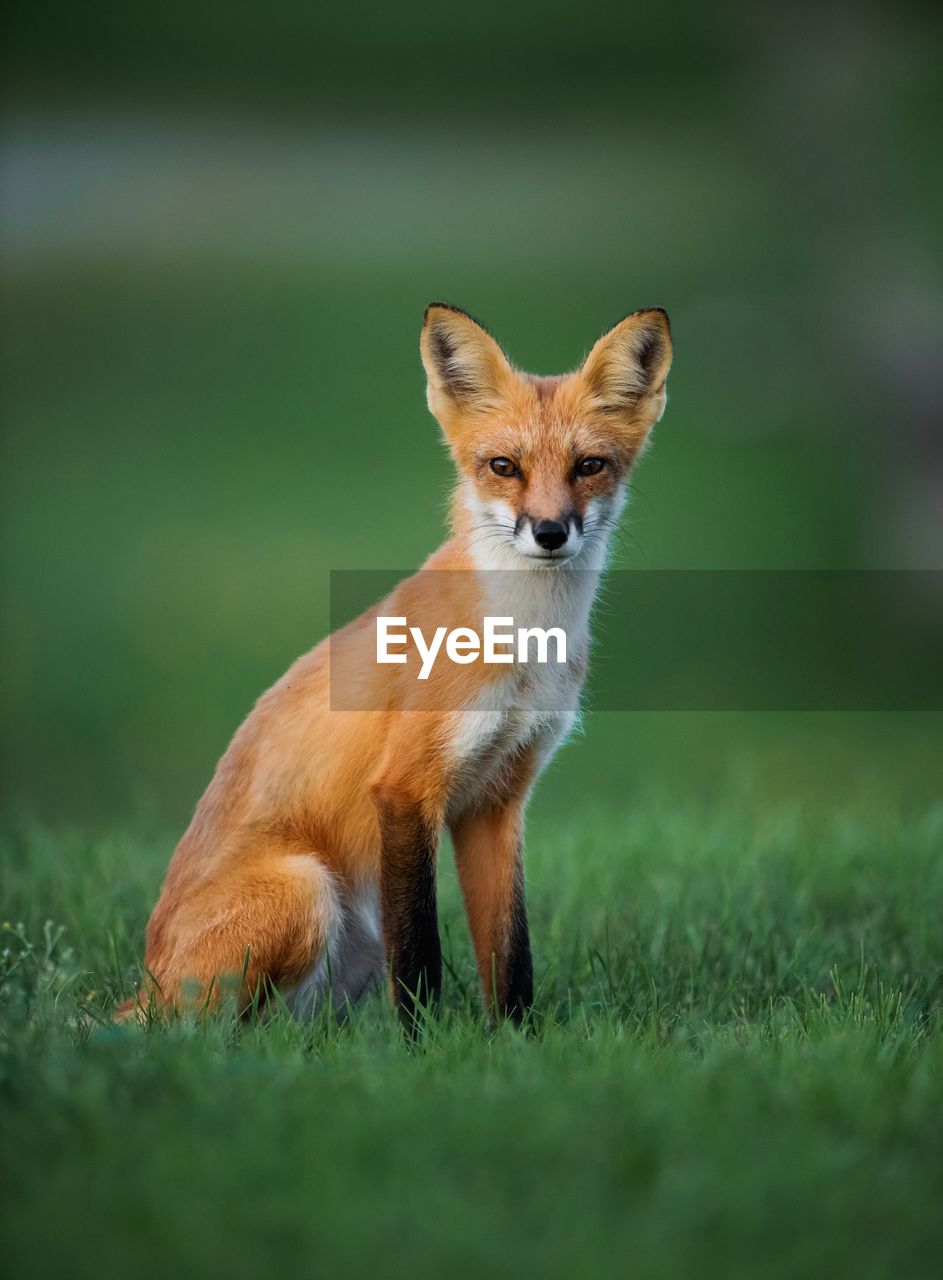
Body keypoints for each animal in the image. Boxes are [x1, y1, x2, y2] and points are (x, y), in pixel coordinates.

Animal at [121, 304, 675, 1034]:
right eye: (504, 466)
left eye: (590, 466)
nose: (550, 532)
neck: (522, 644)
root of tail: (146, 984)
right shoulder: (406, 788)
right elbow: (419, 956)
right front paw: (422, 1046)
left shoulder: (497, 799)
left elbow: (510, 950)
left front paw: (517, 1041)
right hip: (306, 889)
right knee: (210, 1034)